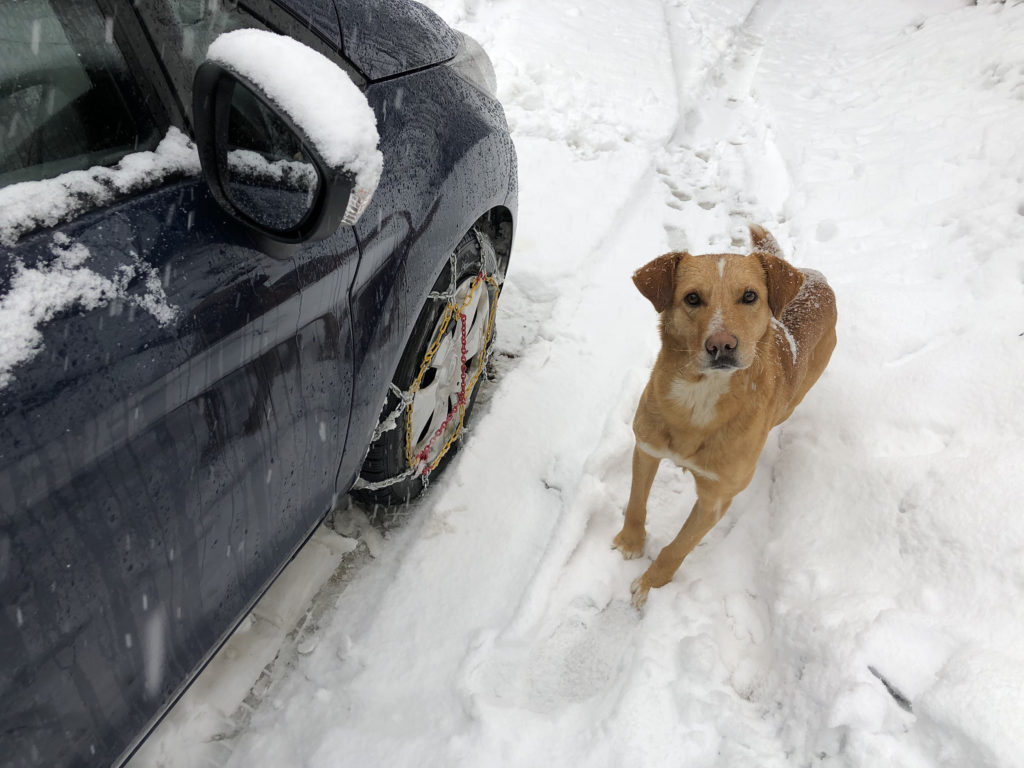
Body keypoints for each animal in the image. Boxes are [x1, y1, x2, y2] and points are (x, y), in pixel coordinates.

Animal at [610, 225, 835, 610]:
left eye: (749, 296)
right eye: (692, 298)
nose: (721, 346)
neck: (698, 398)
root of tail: (813, 276)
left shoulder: (716, 499)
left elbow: (678, 547)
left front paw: (650, 584)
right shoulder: (647, 448)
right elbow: (636, 503)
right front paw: (630, 542)